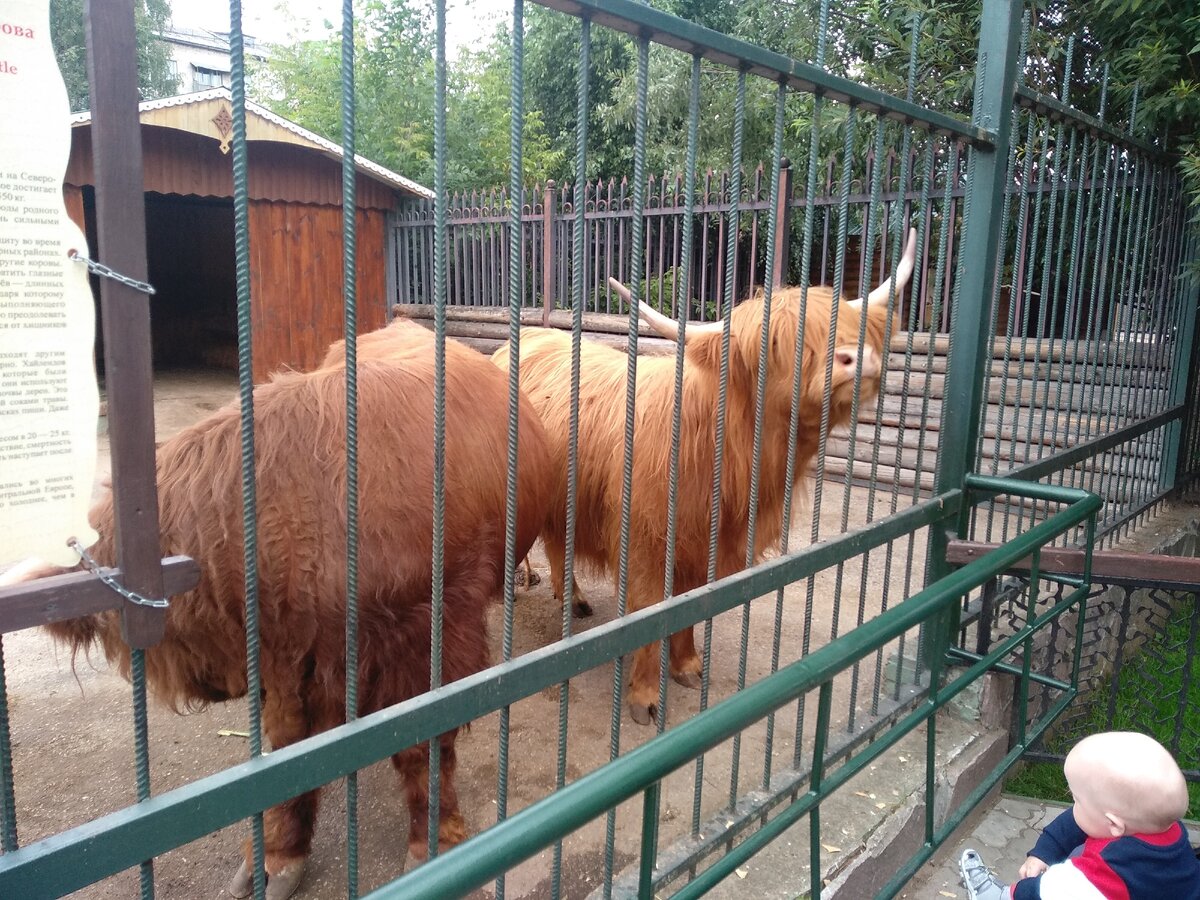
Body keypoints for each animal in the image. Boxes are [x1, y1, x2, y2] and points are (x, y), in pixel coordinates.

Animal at [7, 321, 549, 900]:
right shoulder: (288, 660)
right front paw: (276, 856)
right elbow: (289, 749)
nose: (210, 687)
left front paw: (437, 842)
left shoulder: (435, 636)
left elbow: (424, 742)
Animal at [492, 232, 912, 724]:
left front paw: (688, 666)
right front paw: (644, 697)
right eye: (774, 343)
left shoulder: (708, 547)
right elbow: (650, 609)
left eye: (850, 325)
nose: (855, 359)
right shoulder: (646, 539)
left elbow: (691, 605)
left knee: (559, 544)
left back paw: (572, 599)